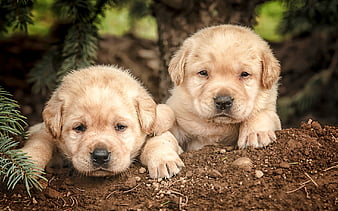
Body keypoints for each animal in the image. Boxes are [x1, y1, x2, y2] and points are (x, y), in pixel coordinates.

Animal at [21, 65, 182, 177]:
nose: (100, 156)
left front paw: (163, 160)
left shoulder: (157, 125)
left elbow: (160, 138)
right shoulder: (44, 130)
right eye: (79, 127)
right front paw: (27, 163)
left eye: (120, 126)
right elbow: (39, 142)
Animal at [167, 23, 282, 151]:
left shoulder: (269, 107)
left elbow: (263, 113)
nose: (223, 102)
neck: (218, 125)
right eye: (203, 73)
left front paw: (256, 134)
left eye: (244, 74)